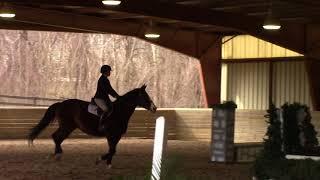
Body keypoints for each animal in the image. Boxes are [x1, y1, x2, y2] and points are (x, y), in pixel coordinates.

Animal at [27, 84, 158, 167]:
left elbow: (113, 150)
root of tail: (60, 103)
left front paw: (108, 164)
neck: (120, 111)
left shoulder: (117, 136)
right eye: (145, 96)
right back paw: (57, 154)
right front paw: (99, 160)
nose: (154, 108)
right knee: (56, 137)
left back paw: (56, 155)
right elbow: (112, 150)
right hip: (66, 126)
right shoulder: (111, 135)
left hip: (69, 127)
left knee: (57, 138)